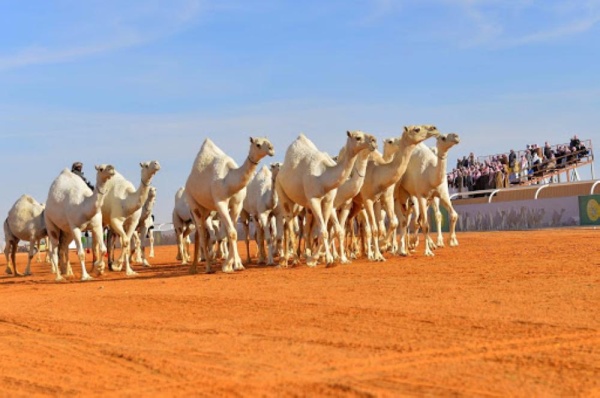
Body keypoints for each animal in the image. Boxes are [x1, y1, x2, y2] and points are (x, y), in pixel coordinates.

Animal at [185, 137, 274, 274]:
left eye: (268, 140)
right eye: (258, 144)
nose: (271, 149)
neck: (228, 181)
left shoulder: (237, 205)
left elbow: (233, 233)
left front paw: (234, 264)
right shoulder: (220, 203)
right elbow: (231, 233)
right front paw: (229, 266)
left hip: (206, 210)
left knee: (199, 234)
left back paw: (194, 268)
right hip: (193, 204)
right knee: (202, 234)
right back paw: (208, 267)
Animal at [276, 131, 376, 268]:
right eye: (358, 137)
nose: (374, 141)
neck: (324, 178)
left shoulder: (331, 202)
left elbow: (333, 231)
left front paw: (335, 258)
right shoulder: (317, 201)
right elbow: (326, 231)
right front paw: (326, 259)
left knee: (303, 229)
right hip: (283, 193)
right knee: (291, 226)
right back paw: (294, 259)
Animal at [352, 124, 440, 262]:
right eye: (417, 129)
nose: (434, 128)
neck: (378, 174)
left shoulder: (386, 199)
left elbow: (394, 223)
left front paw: (387, 249)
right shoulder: (368, 199)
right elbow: (377, 228)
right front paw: (381, 250)